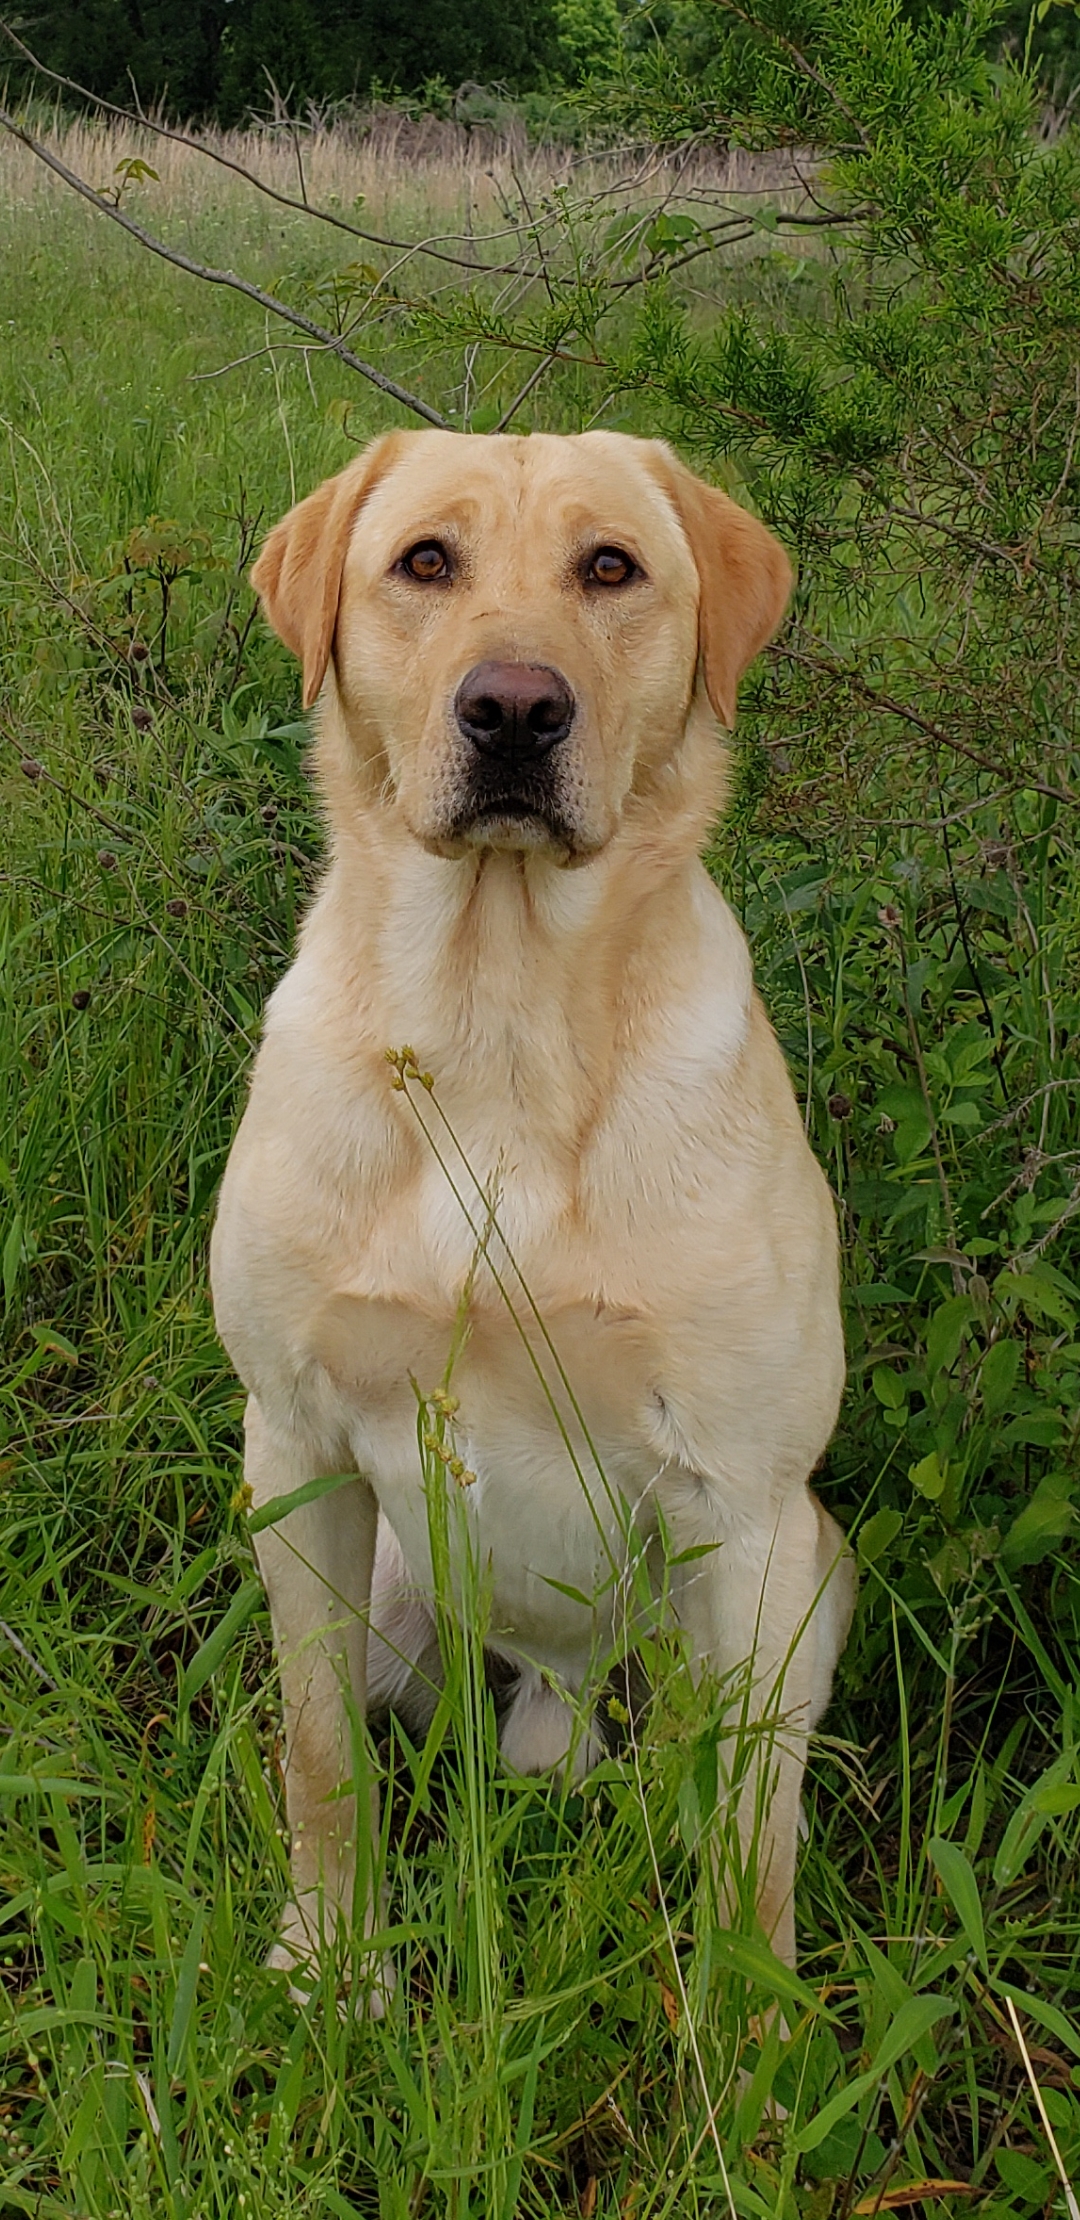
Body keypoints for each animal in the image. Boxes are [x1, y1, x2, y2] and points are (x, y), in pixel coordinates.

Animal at [208, 424, 853, 1989]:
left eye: (609, 568)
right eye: (424, 562)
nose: (513, 710)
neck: (495, 1024)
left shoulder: (747, 1505)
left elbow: (752, 1850)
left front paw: (753, 2041)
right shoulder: (295, 1455)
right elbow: (318, 1756)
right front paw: (332, 1972)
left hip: (805, 1579)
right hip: (400, 1596)